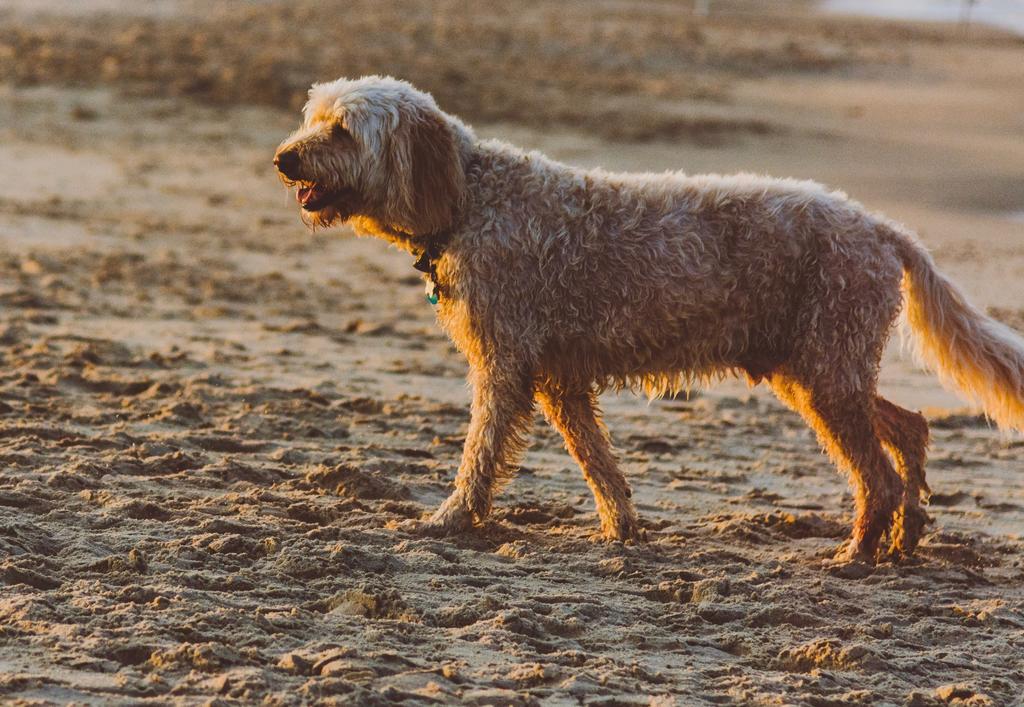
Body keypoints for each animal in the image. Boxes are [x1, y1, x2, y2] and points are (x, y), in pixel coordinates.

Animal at [274, 75, 1024, 561]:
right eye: (313, 118)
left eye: (342, 130)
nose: (283, 158)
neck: (469, 196)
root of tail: (880, 226)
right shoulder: (559, 382)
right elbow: (599, 463)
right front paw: (621, 528)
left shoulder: (506, 367)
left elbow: (481, 454)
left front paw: (453, 518)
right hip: (818, 367)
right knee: (908, 426)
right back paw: (907, 531)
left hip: (827, 371)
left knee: (878, 475)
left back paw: (862, 550)